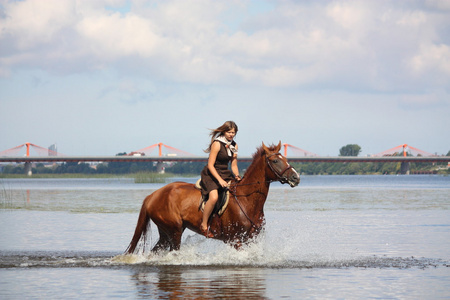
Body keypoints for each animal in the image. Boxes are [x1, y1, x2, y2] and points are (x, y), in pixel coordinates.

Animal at [125, 142, 298, 254]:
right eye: (275, 161)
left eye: (286, 159)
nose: (296, 178)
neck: (246, 199)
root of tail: (153, 195)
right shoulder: (235, 240)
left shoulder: (252, 239)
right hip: (174, 231)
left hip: (166, 232)